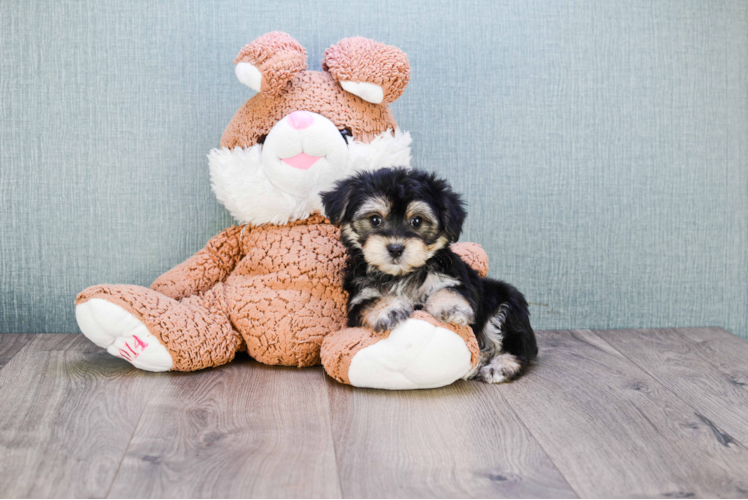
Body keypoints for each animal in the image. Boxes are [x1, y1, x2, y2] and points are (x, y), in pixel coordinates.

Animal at [322, 168, 536, 382]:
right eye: (375, 219)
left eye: (417, 221)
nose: (395, 248)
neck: (402, 274)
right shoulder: (359, 295)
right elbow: (369, 302)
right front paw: (389, 309)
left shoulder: (454, 277)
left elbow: (449, 290)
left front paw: (450, 307)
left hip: (507, 305)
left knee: (517, 347)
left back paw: (499, 366)